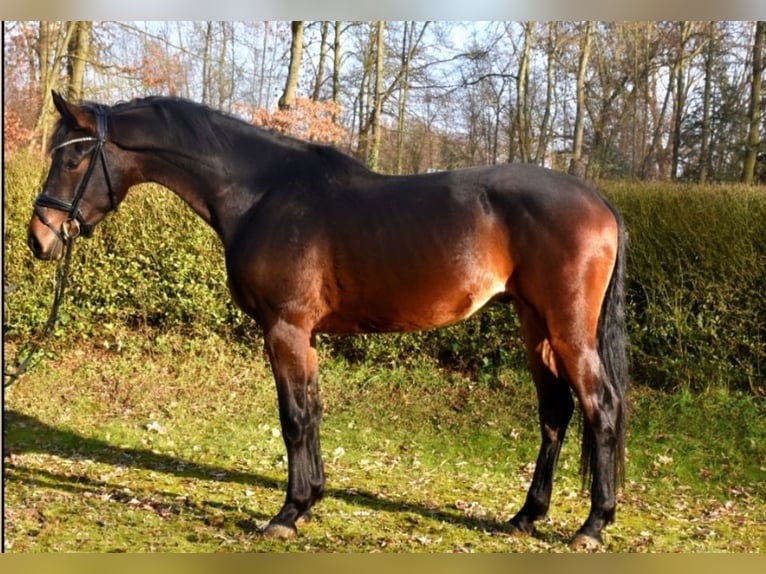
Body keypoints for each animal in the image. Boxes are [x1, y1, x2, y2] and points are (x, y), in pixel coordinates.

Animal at [28, 91, 628, 549]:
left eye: (73, 160)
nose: (40, 239)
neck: (260, 194)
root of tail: (599, 201)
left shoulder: (284, 330)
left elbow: (293, 417)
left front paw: (287, 513)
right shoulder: (304, 337)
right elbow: (312, 412)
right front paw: (310, 499)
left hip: (567, 331)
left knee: (600, 408)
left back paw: (592, 526)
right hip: (535, 327)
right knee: (555, 413)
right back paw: (526, 516)